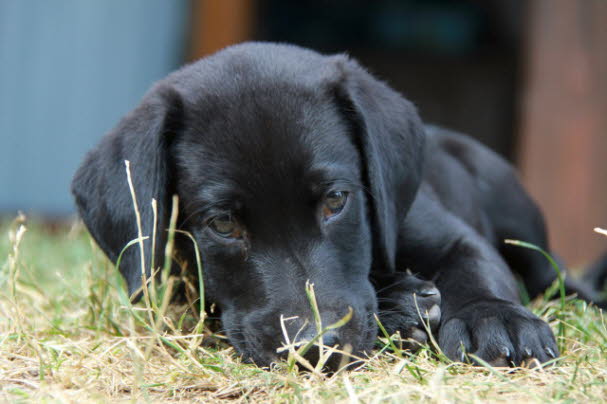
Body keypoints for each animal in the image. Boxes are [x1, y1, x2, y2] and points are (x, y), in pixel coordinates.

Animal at [72, 43, 607, 370]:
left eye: (335, 200)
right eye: (222, 224)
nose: (317, 347)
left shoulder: (446, 231)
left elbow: (477, 267)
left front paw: (494, 319)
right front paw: (401, 308)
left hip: (517, 212)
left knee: (554, 276)